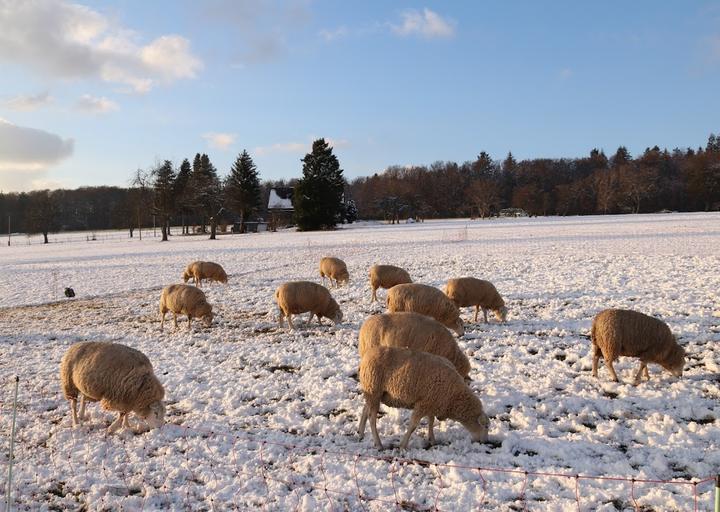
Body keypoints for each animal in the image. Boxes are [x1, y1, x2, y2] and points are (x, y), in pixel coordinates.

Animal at [358, 346, 490, 450]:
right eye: (486, 427)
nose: (485, 442)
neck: (454, 397)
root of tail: (367, 355)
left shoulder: (431, 402)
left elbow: (431, 421)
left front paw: (432, 439)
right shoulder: (423, 404)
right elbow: (413, 426)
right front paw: (403, 445)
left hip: (374, 392)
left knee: (365, 410)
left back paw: (360, 433)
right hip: (373, 389)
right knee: (372, 418)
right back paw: (378, 444)